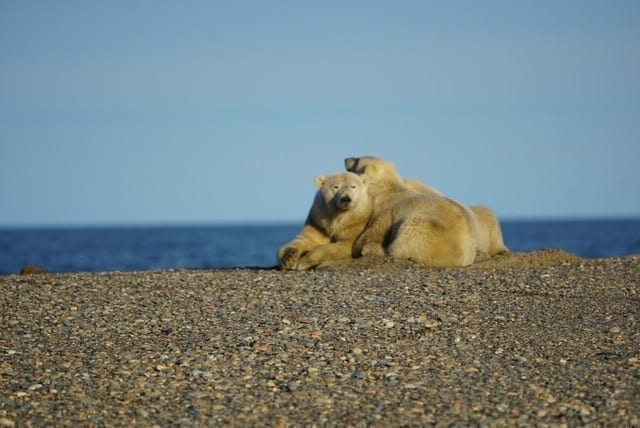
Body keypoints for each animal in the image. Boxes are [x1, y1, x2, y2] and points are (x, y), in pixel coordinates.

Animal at [278, 156, 508, 270]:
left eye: (356, 159)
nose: (345, 157)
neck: (386, 187)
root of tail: (464, 257)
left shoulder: (381, 210)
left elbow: (369, 233)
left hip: (428, 228)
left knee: (406, 238)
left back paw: (374, 249)